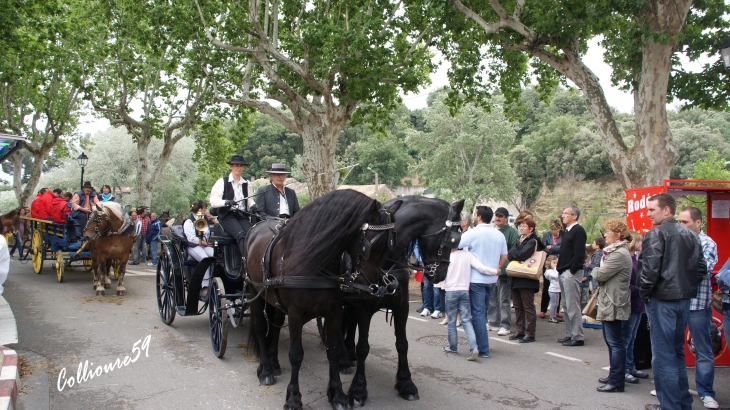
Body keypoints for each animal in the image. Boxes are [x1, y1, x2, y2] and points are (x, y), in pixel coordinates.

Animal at [247, 190, 400, 410]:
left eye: (389, 248)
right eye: (367, 247)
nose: (373, 289)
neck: (314, 262)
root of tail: (255, 228)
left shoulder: (334, 311)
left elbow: (334, 352)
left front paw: (337, 395)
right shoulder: (295, 314)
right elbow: (296, 354)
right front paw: (293, 398)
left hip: (273, 299)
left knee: (274, 327)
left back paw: (274, 363)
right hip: (254, 291)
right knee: (260, 327)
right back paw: (266, 369)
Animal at [340, 197, 460, 406]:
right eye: (451, 239)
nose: (441, 275)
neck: (385, 264)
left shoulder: (401, 308)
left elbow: (402, 344)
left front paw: (406, 384)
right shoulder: (364, 309)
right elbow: (363, 347)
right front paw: (358, 390)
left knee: (349, 324)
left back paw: (349, 354)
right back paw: (342, 359)